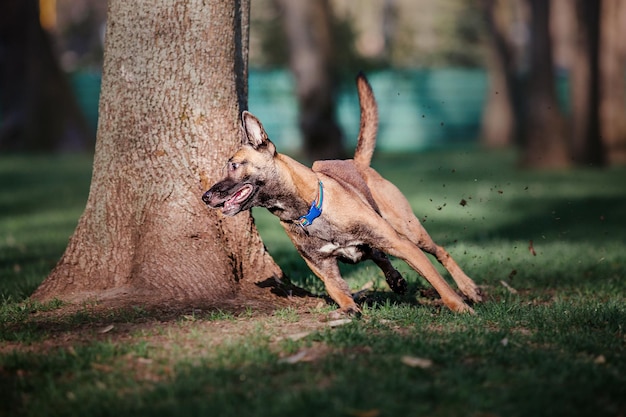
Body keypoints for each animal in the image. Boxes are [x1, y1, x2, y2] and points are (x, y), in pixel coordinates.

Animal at [202, 72, 480, 312]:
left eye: (234, 165)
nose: (205, 197)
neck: (308, 211)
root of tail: (357, 163)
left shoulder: (403, 245)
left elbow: (438, 282)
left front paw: (459, 306)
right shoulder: (328, 273)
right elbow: (341, 294)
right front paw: (349, 312)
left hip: (409, 229)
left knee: (440, 251)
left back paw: (469, 288)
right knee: (377, 254)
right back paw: (394, 278)